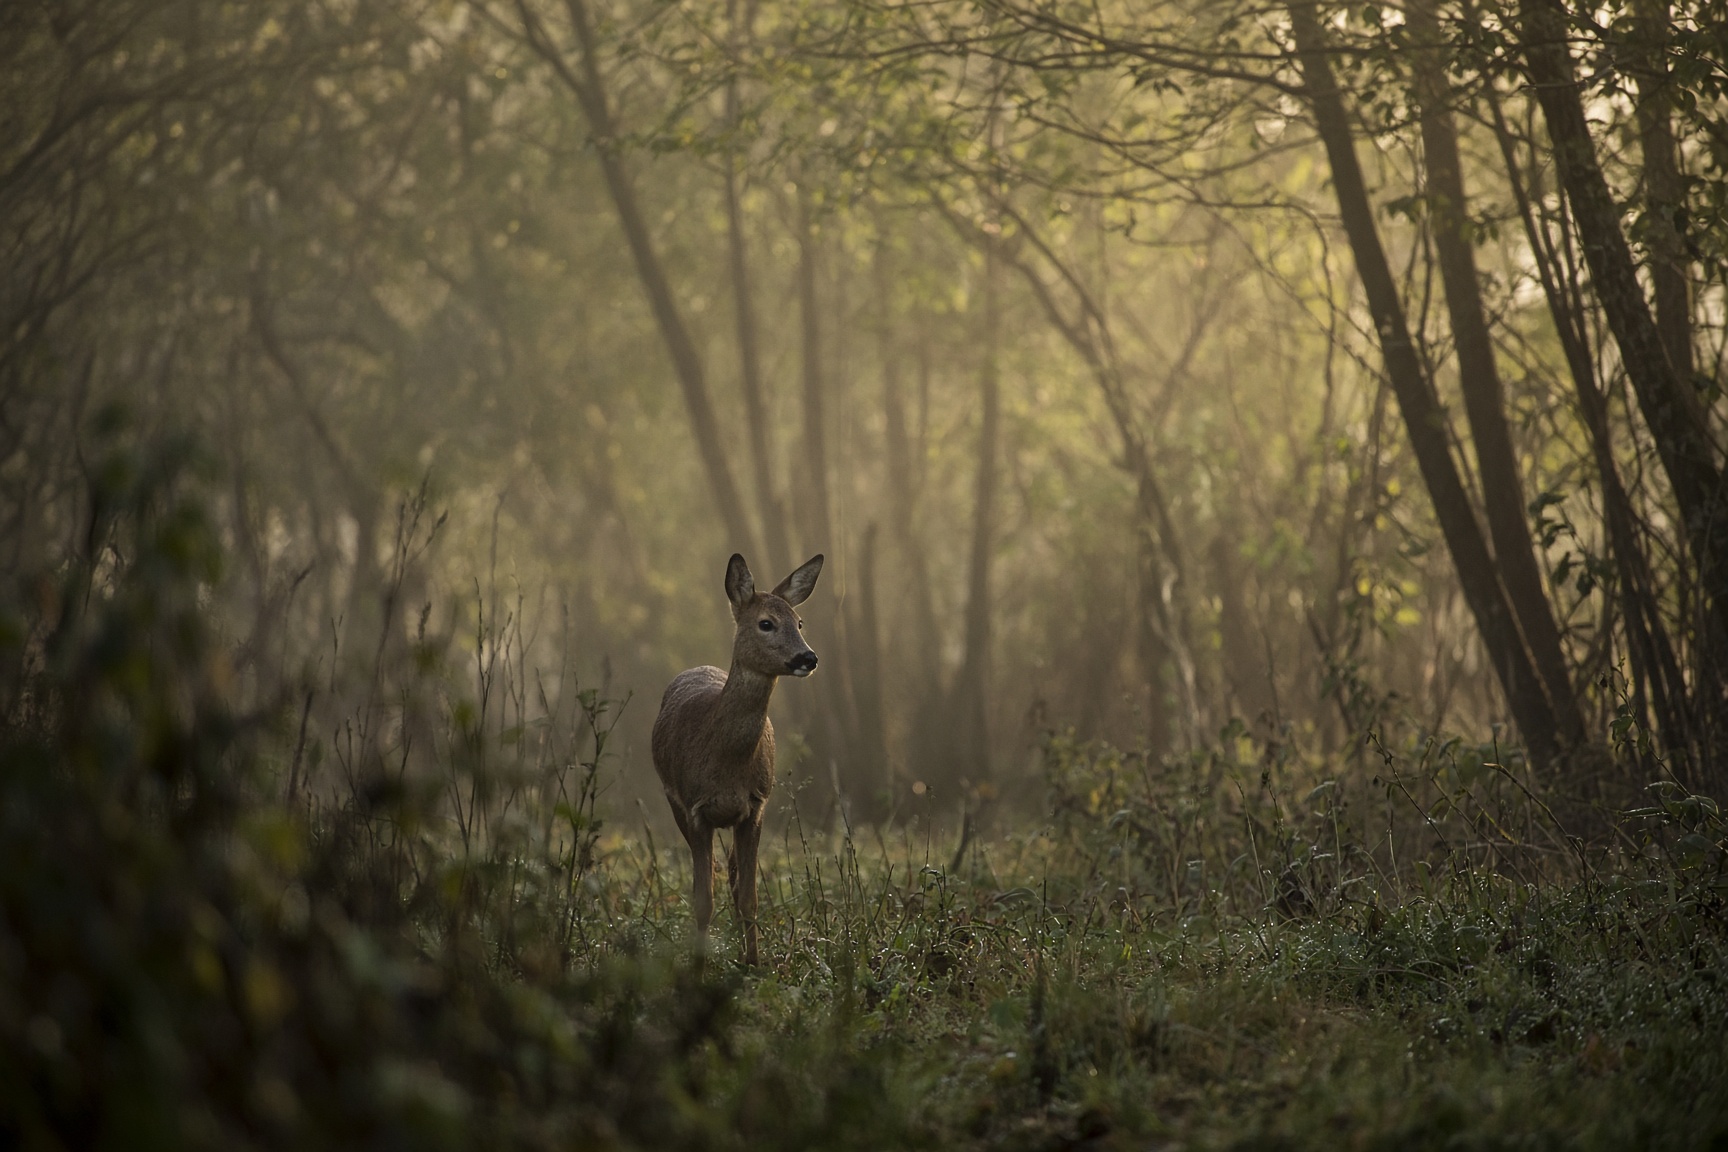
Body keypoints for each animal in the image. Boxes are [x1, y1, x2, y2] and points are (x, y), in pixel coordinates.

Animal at [650, 552, 824, 966]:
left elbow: (749, 898)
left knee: (730, 872)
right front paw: (697, 968)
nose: (808, 657)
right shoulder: (694, 808)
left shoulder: (755, 806)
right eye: (766, 623)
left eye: (799, 622)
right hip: (672, 801)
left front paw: (754, 964)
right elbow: (703, 902)